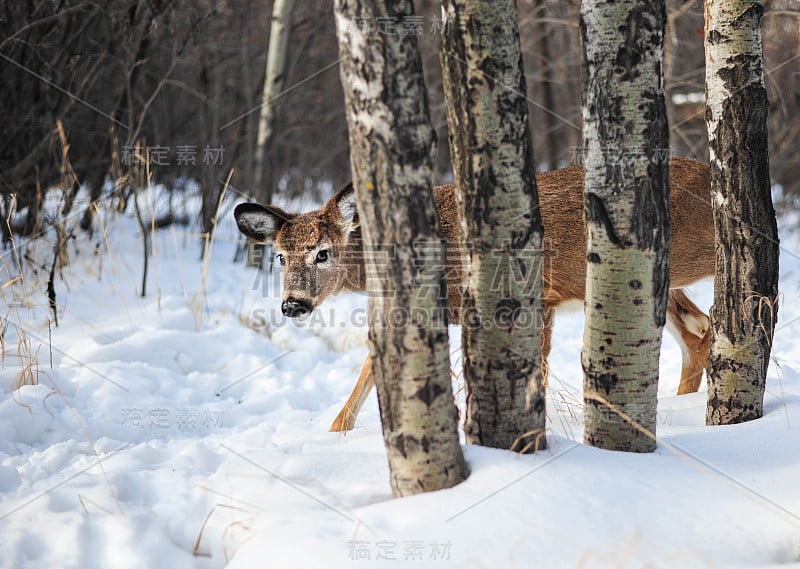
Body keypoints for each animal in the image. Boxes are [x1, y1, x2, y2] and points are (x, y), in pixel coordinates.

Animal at [234, 155, 716, 430]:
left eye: (323, 253)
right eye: (280, 256)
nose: (292, 304)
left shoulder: (535, 297)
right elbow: (371, 364)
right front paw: (336, 431)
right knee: (699, 330)